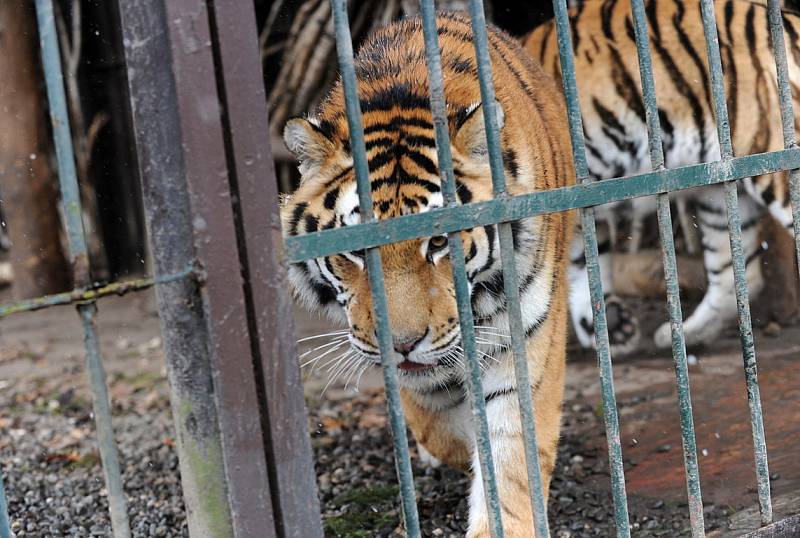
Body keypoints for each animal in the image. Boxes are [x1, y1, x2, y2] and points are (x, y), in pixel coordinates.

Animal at [282, 10, 576, 532]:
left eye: (439, 242)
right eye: (358, 251)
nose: (402, 344)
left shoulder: (526, 329)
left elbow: (512, 452)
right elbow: (438, 423)